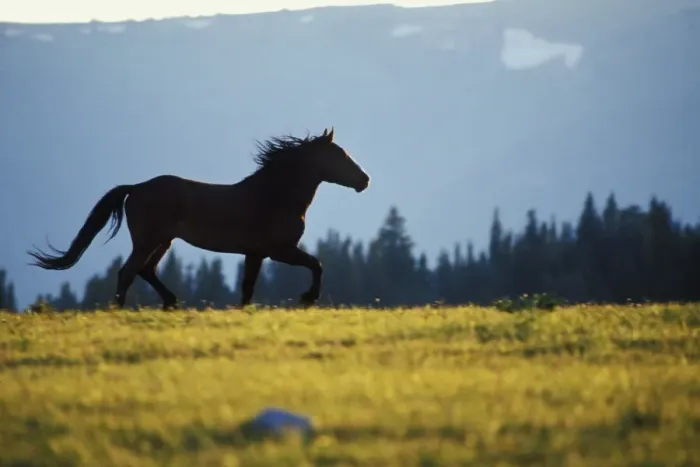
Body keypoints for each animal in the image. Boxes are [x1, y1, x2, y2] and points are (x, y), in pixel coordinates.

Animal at [28, 128, 370, 310]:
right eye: (340, 156)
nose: (364, 180)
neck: (275, 196)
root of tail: (136, 188)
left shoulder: (255, 254)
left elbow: (248, 287)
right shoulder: (279, 251)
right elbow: (317, 263)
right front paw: (308, 297)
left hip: (164, 240)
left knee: (146, 270)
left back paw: (171, 302)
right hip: (149, 240)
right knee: (128, 271)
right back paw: (119, 310)